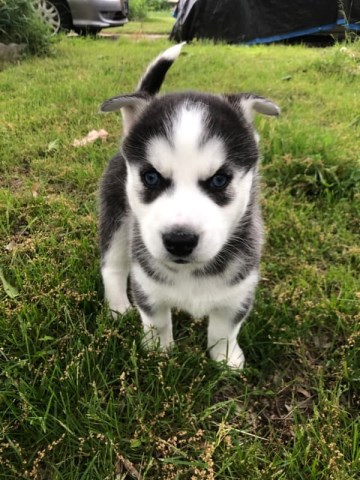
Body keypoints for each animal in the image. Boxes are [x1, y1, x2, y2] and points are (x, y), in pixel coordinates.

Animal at [100, 44, 280, 368]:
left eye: (220, 180)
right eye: (151, 177)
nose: (180, 241)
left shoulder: (240, 288)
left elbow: (225, 328)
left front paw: (225, 360)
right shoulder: (147, 284)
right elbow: (157, 321)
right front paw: (159, 352)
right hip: (117, 218)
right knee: (112, 266)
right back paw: (118, 306)